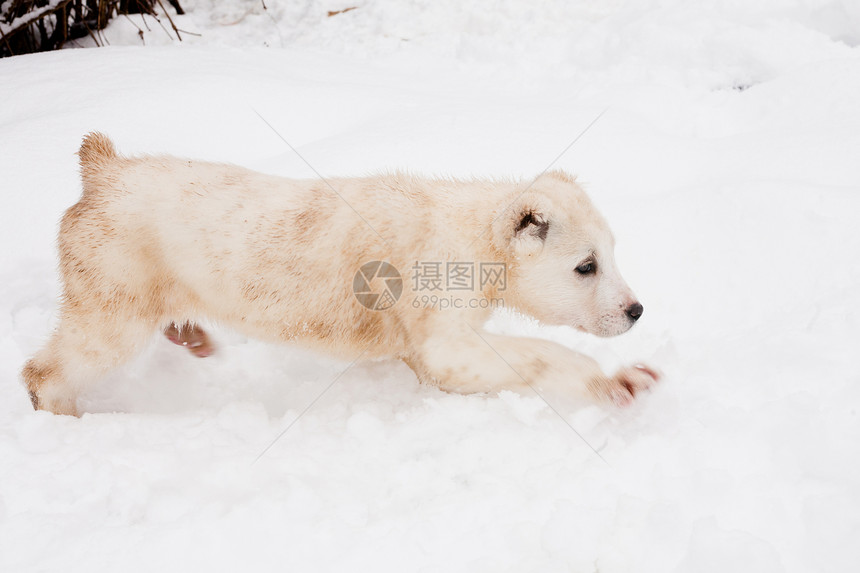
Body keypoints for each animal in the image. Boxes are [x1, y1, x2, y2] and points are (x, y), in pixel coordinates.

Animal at [21, 132, 660, 414]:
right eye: (585, 266)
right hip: (110, 303)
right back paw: (66, 416)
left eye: (612, 252)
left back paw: (191, 335)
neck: (473, 238)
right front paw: (617, 382)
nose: (636, 310)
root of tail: (102, 170)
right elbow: (539, 355)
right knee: (47, 370)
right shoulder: (444, 345)